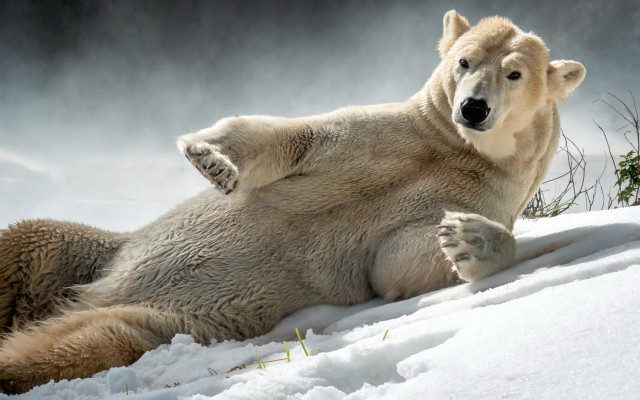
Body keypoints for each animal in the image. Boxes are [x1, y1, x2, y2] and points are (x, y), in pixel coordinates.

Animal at [0, 10, 585, 394]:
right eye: (464, 61)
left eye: (513, 72)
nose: (473, 108)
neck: (455, 148)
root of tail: (93, 292)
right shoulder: (383, 134)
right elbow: (294, 139)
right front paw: (211, 159)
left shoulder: (480, 188)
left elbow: (401, 260)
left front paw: (468, 238)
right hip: (94, 250)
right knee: (29, 241)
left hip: (170, 318)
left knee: (83, 342)